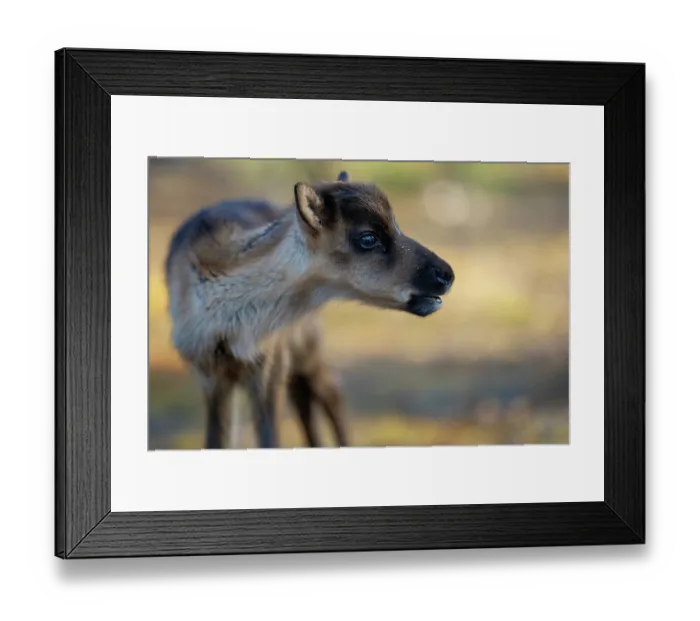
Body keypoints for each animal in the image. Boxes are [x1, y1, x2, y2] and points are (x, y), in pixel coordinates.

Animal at [164, 170, 455, 449]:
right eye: (368, 237)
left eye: (396, 225)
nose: (447, 274)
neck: (228, 328)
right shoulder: (208, 374)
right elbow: (217, 441)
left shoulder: (270, 365)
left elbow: (270, 440)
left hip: (307, 349)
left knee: (331, 392)